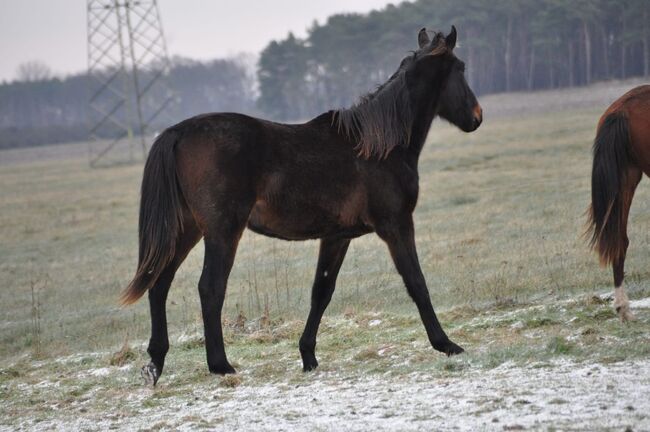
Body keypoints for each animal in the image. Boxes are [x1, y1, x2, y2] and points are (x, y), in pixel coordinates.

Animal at [121, 27, 480, 384]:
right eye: (461, 68)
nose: (477, 117)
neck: (379, 146)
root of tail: (177, 132)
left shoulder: (337, 236)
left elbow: (321, 291)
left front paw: (308, 355)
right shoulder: (396, 225)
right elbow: (416, 282)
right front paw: (446, 344)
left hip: (187, 229)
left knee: (159, 283)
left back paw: (156, 362)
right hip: (222, 231)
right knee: (210, 288)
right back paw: (220, 365)